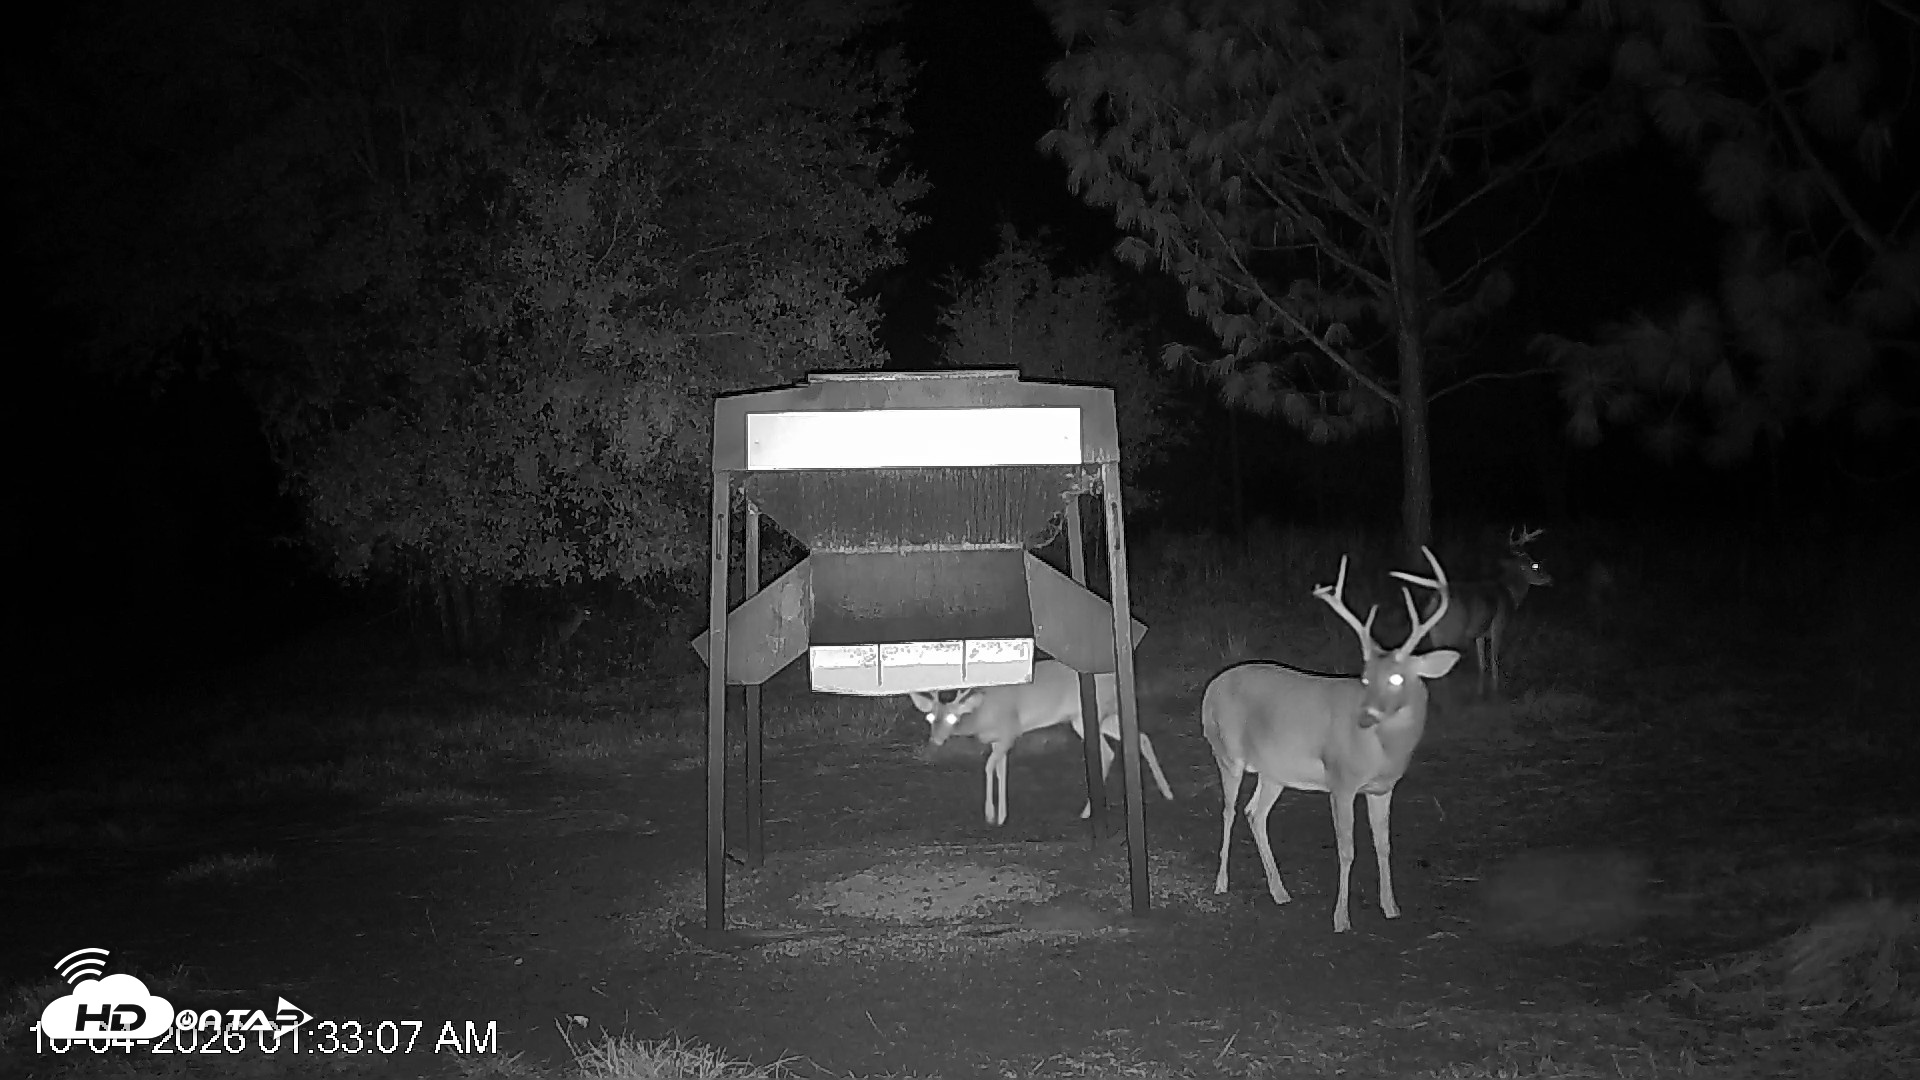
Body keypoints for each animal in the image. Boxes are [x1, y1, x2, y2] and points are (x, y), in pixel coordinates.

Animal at [910, 659, 1176, 827]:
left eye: (953, 718)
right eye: (930, 717)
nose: (936, 739)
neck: (980, 715)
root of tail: (1113, 678)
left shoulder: (1010, 731)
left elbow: (989, 767)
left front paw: (990, 815)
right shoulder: (999, 741)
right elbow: (1000, 771)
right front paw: (1002, 816)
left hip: (1087, 716)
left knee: (1110, 750)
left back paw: (1087, 811)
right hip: (1098, 717)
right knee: (1136, 739)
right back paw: (1167, 793)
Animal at [1201, 547, 1459, 933]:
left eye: (1397, 678)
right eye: (1365, 677)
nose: (1365, 716)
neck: (1383, 751)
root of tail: (1209, 690)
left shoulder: (1383, 788)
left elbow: (1384, 845)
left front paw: (1391, 907)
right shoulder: (1342, 779)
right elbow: (1347, 848)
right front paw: (1341, 919)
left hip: (1274, 770)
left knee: (1255, 813)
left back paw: (1280, 892)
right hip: (1227, 752)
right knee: (1229, 810)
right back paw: (1222, 883)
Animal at [1416, 526, 1550, 697]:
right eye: (1535, 565)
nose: (1550, 578)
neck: (1510, 593)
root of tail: (1435, 602)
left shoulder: (1479, 634)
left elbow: (1482, 664)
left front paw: (1480, 691)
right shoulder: (1498, 625)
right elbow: (1494, 660)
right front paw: (1495, 690)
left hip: (1435, 634)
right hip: (1452, 633)